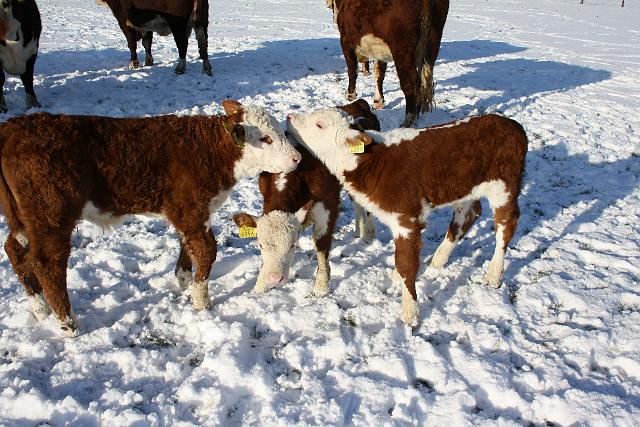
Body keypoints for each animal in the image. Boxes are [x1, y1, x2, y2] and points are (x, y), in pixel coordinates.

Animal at [0, 101, 302, 338]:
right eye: (266, 138)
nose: (298, 157)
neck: (208, 151)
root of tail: (12, 128)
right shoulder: (191, 209)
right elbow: (206, 250)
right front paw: (201, 301)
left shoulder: (187, 212)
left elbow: (187, 244)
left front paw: (183, 279)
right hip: (51, 215)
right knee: (47, 264)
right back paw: (69, 325)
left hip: (24, 220)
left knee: (15, 250)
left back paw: (40, 308)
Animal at [232, 99, 380, 298]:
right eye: (261, 246)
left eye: (293, 245)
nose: (275, 279)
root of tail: (357, 103)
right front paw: (260, 286)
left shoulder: (328, 204)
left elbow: (321, 245)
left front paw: (321, 287)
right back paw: (359, 230)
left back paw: (368, 233)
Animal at [288, 108, 528, 326]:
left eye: (320, 124)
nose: (290, 117)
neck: (372, 163)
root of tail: (512, 124)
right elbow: (403, 258)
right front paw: (400, 280)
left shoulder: (408, 219)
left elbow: (406, 263)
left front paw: (410, 313)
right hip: (466, 187)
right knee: (468, 215)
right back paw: (438, 259)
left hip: (504, 185)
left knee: (506, 223)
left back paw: (494, 274)